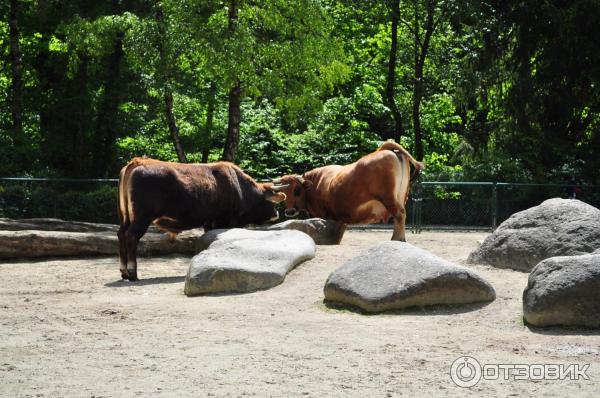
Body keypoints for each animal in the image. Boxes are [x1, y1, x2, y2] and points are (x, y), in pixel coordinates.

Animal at [118, 157, 288, 282]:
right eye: (271, 201)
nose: (276, 213)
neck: (239, 186)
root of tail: (139, 161)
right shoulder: (227, 221)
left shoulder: (209, 222)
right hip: (142, 218)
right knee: (131, 236)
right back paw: (132, 273)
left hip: (125, 217)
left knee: (121, 235)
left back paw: (124, 271)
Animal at [272, 141, 422, 241]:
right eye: (284, 192)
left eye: (297, 190)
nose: (289, 211)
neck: (315, 183)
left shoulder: (322, 214)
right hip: (400, 197)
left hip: (388, 198)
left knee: (399, 214)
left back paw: (397, 239)